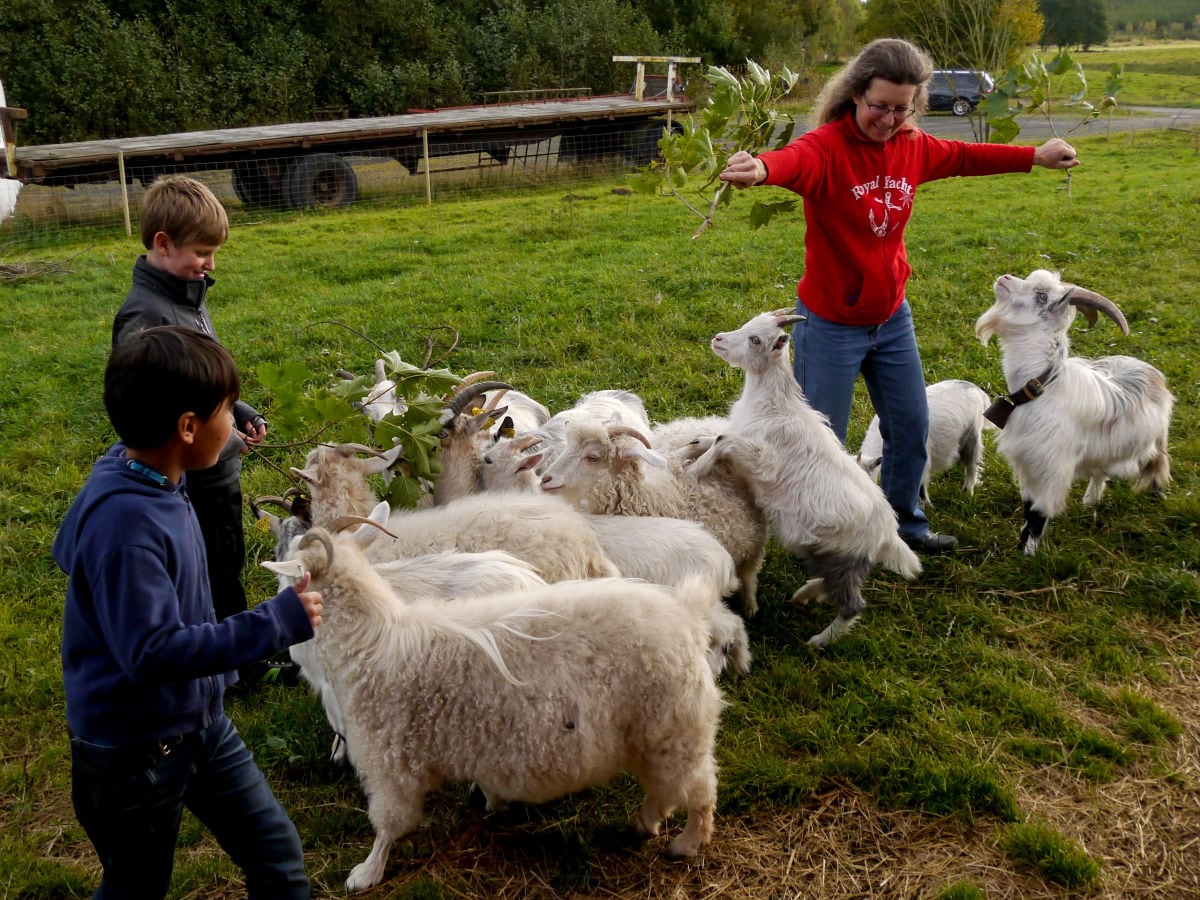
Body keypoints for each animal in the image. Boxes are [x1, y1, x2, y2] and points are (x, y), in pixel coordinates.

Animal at [267, 528, 720, 897]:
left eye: (289, 577)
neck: (370, 643)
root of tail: (690, 614)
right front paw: (491, 802)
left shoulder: (390, 759)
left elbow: (387, 823)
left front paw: (366, 873)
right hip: (656, 732)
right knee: (665, 789)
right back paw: (645, 823)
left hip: (675, 727)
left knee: (699, 790)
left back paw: (685, 844)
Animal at [686, 309, 916, 648]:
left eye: (756, 340)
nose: (718, 339)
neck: (775, 406)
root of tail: (889, 533)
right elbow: (717, 437)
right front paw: (694, 445)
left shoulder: (763, 461)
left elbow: (724, 440)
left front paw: (696, 470)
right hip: (827, 553)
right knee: (829, 583)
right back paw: (804, 595)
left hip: (846, 557)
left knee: (853, 604)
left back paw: (819, 640)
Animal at [859, 379, 998, 504]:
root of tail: (975, 388)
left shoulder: (921, 462)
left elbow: (920, 488)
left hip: (972, 435)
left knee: (972, 464)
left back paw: (967, 493)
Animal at [974, 267, 1171, 554]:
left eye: (1042, 295)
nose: (1005, 278)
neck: (1044, 386)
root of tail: (1150, 369)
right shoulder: (1030, 462)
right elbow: (1028, 508)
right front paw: (1022, 546)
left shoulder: (1051, 467)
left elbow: (1037, 512)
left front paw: (1028, 555)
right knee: (1101, 472)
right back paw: (1091, 501)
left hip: (1154, 439)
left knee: (1157, 463)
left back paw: (1159, 494)